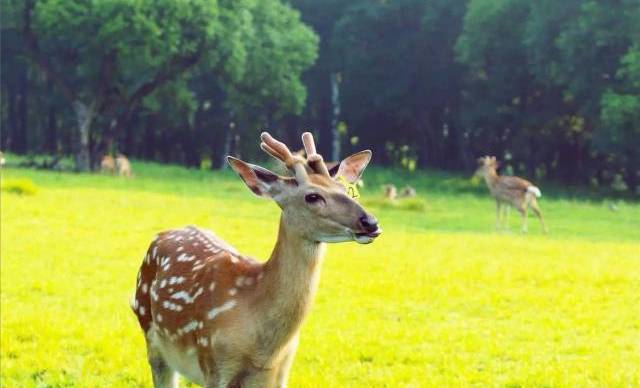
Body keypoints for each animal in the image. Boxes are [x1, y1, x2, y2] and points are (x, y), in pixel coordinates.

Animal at [130, 132, 380, 386]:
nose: (370, 222)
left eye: (345, 189)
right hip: (150, 331)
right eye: (312, 196)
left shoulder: (279, 371)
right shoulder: (213, 361)